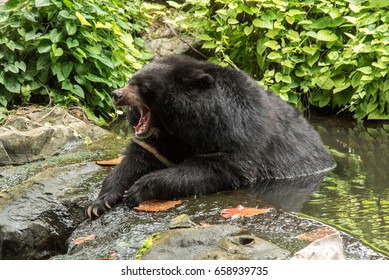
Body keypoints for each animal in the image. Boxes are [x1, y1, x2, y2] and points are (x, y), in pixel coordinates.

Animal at [85, 55, 334, 219]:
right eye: (131, 80)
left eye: (141, 86)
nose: (116, 94)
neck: (176, 128)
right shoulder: (158, 142)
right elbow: (137, 158)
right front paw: (99, 202)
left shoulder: (235, 137)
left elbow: (211, 168)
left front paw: (137, 190)